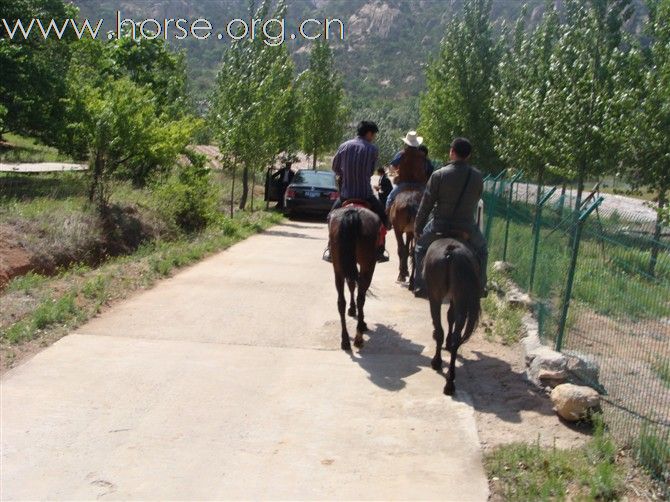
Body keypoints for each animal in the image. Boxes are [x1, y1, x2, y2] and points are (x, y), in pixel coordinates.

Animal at [330, 203, 380, 350]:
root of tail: (352, 213)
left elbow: (351, 285)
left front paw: (352, 310)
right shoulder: (368, 267)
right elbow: (358, 291)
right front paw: (360, 318)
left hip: (338, 268)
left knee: (341, 301)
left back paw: (345, 340)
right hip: (367, 265)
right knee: (361, 298)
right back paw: (358, 337)